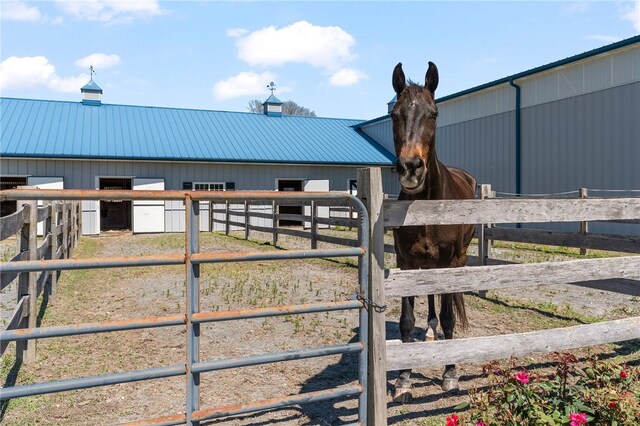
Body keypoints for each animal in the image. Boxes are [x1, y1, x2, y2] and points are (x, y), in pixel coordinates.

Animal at [388, 61, 478, 402]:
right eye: (394, 114)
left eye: (434, 114)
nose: (411, 168)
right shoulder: (405, 263)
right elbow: (405, 321)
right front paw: (403, 380)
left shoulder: (449, 263)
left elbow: (450, 316)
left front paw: (450, 375)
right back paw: (428, 333)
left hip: (457, 259)